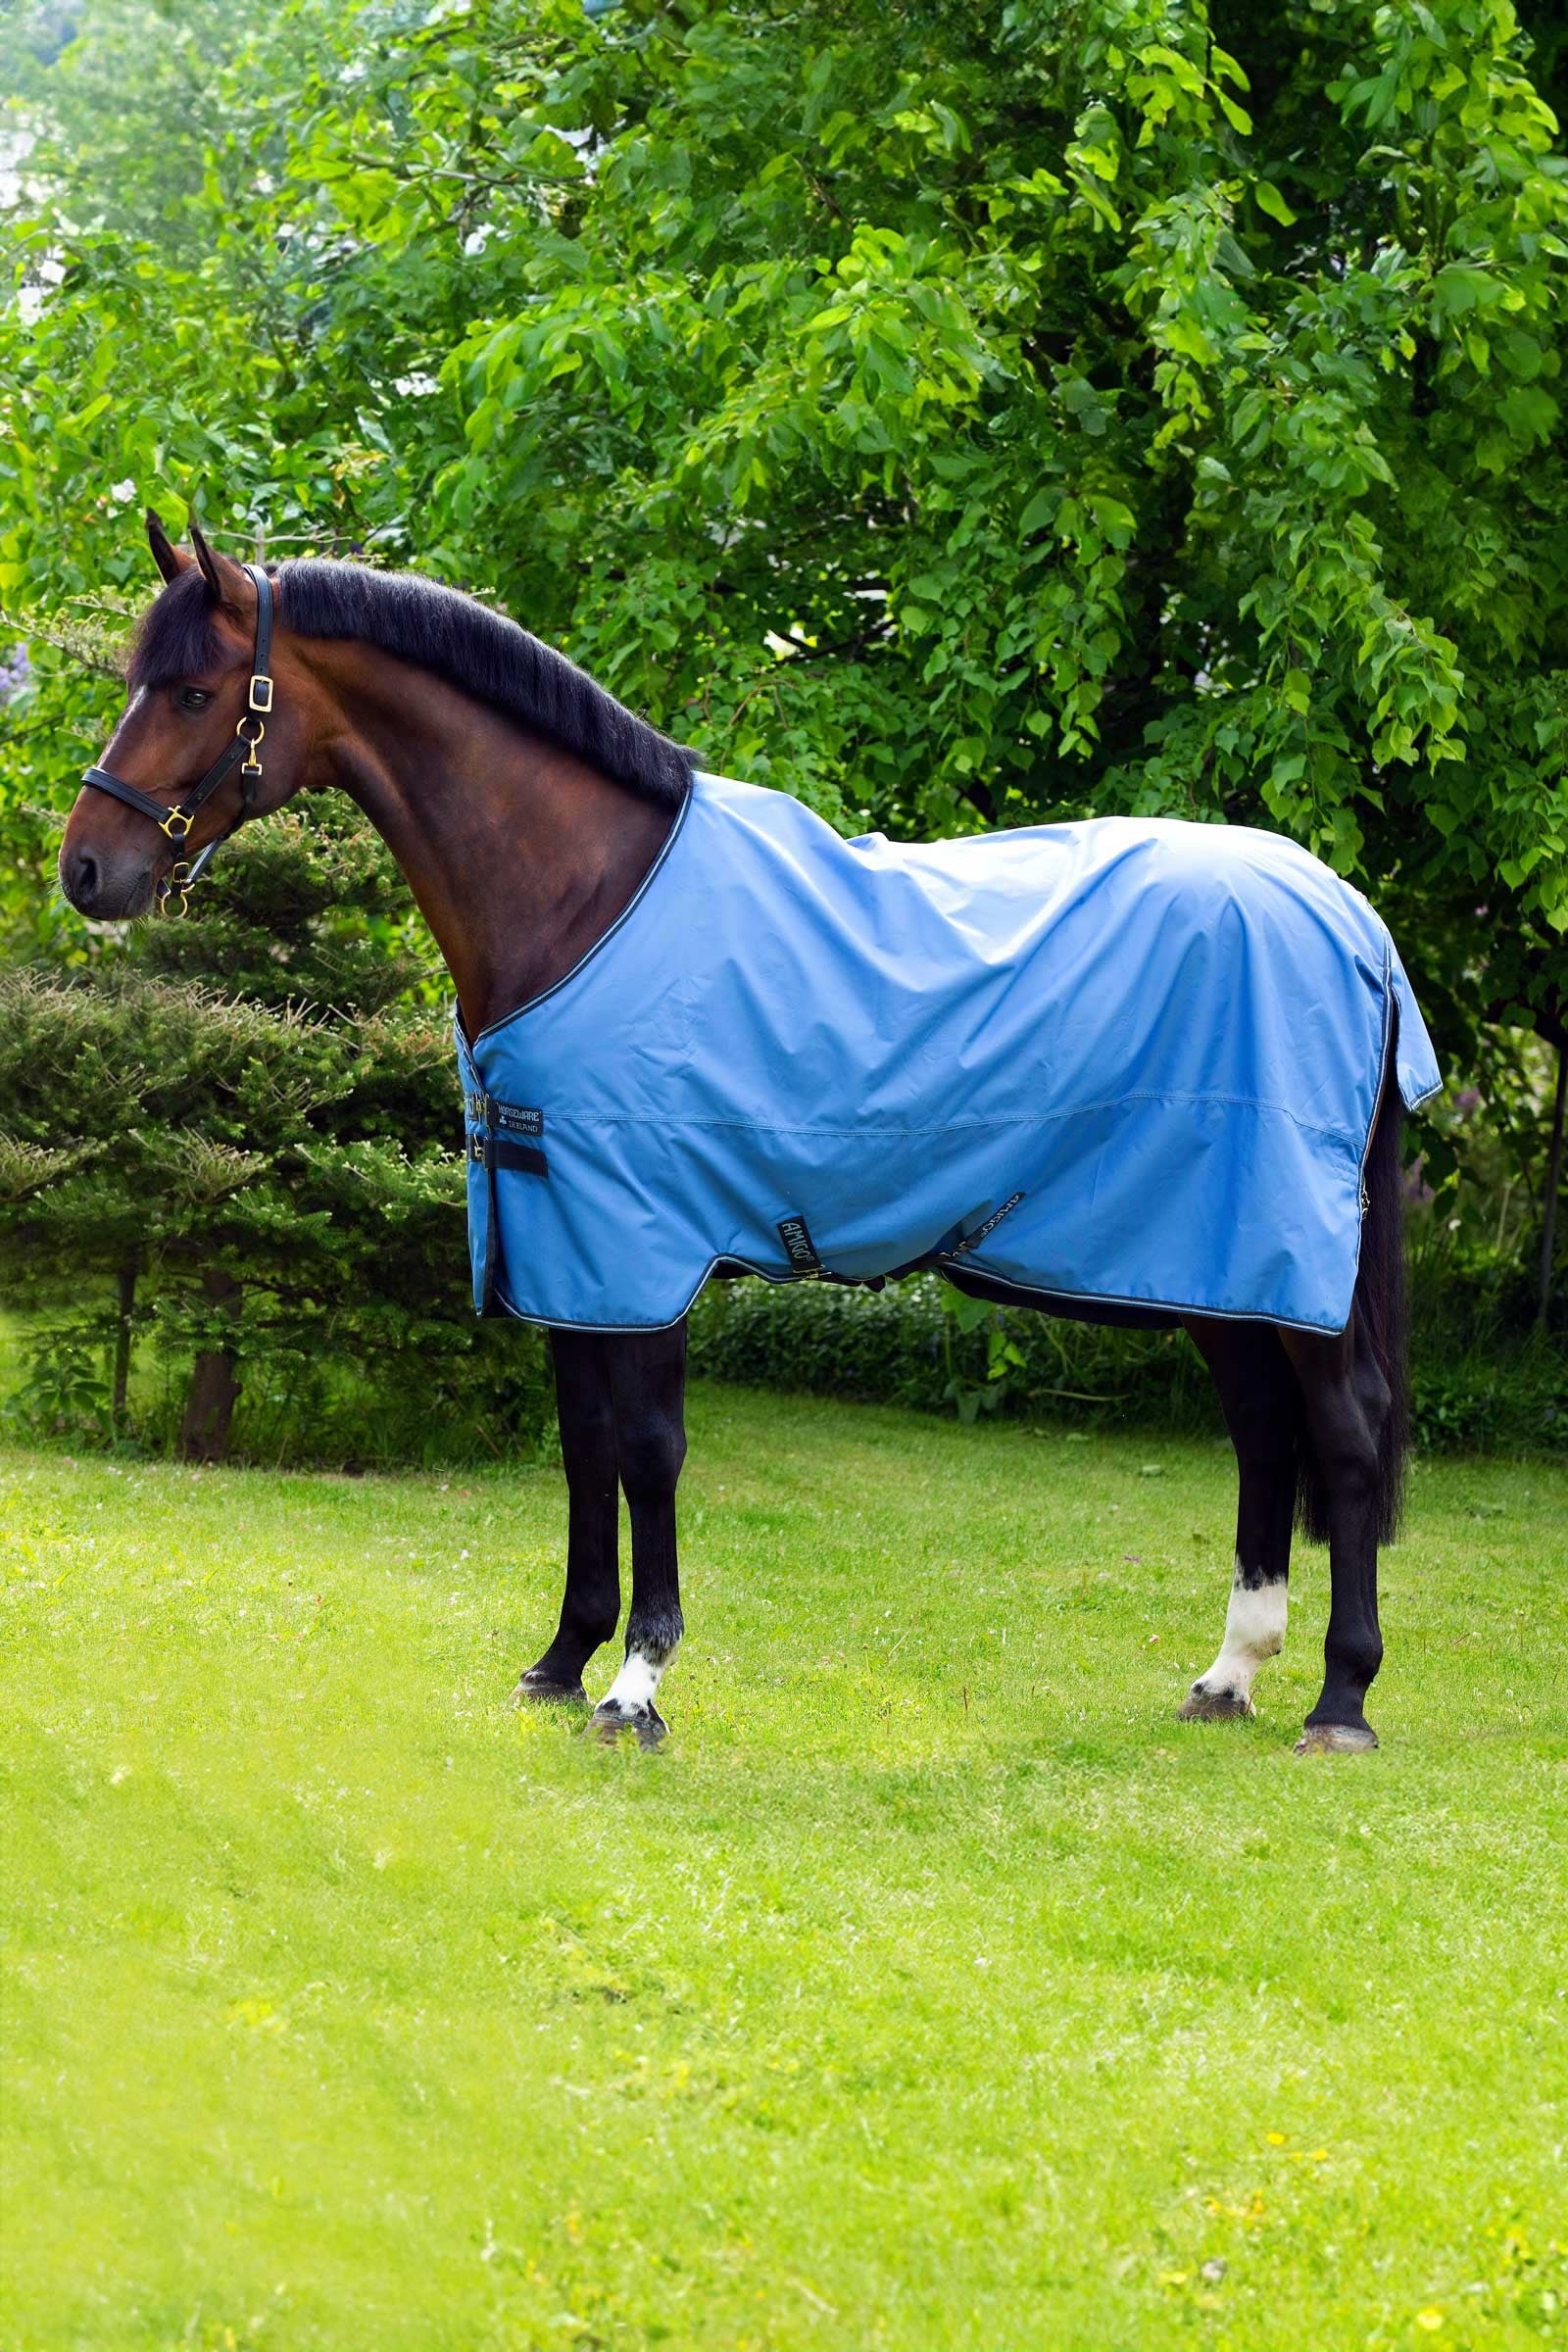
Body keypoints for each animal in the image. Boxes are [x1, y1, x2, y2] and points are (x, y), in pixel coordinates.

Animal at [59, 515, 1431, 1758]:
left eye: (195, 690)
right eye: (135, 681)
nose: (86, 871)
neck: (586, 895)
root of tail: (1346, 912)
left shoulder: (642, 1241)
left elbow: (649, 1453)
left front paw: (635, 1686)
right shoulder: (566, 1247)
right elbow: (584, 1449)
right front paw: (562, 1659)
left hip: (1279, 1254)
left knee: (1342, 1430)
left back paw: (1340, 1700)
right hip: (1219, 1261)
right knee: (1262, 1432)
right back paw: (1229, 1675)